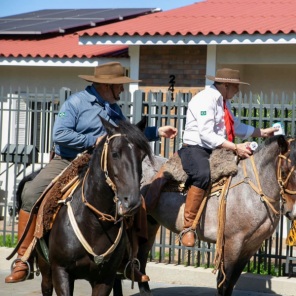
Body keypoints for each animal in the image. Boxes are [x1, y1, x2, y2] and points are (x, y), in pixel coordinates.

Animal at [9, 118, 153, 296]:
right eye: (115, 153)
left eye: (142, 156)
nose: (131, 201)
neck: (94, 222)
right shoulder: (61, 271)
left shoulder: (105, 278)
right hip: (45, 265)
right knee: (46, 286)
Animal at [130, 136, 296, 296]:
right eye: (285, 171)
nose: (292, 211)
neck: (252, 190)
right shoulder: (232, 243)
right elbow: (224, 283)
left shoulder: (250, 246)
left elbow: (231, 282)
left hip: (150, 224)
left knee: (142, 256)